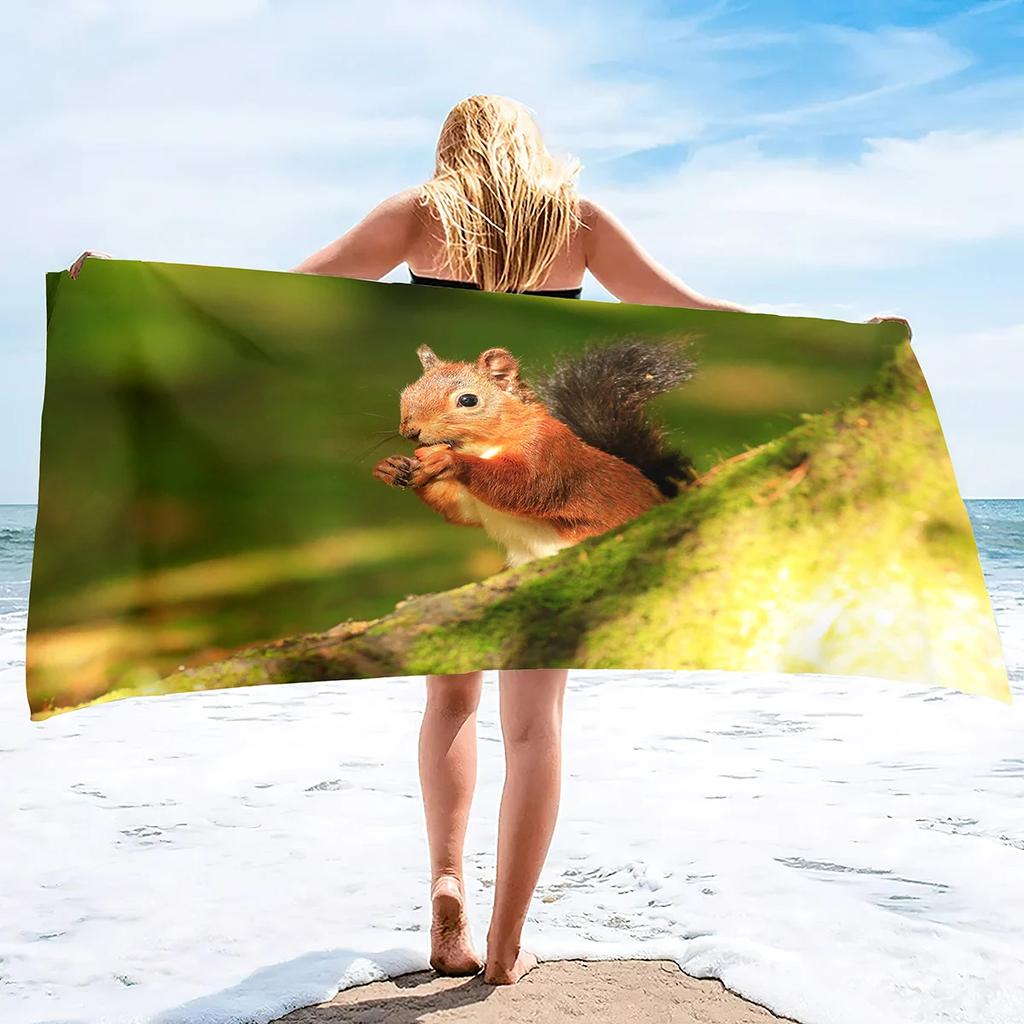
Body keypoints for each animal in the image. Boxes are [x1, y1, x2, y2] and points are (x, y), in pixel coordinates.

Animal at [372, 339, 698, 567]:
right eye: (407, 392)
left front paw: (451, 461)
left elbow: (527, 487)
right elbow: (458, 510)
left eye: (468, 400)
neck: (486, 447)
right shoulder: (468, 502)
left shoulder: (548, 452)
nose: (410, 431)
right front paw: (390, 466)